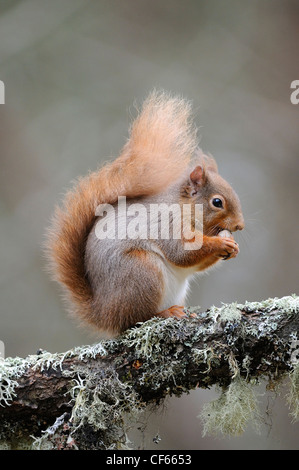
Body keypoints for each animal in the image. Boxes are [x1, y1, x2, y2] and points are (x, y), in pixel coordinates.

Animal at [46, 91, 244, 334]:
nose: (240, 225)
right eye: (217, 202)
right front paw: (220, 243)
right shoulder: (167, 223)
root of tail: (104, 312)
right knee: (137, 318)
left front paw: (233, 248)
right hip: (142, 272)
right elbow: (182, 252)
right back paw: (166, 313)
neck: (182, 206)